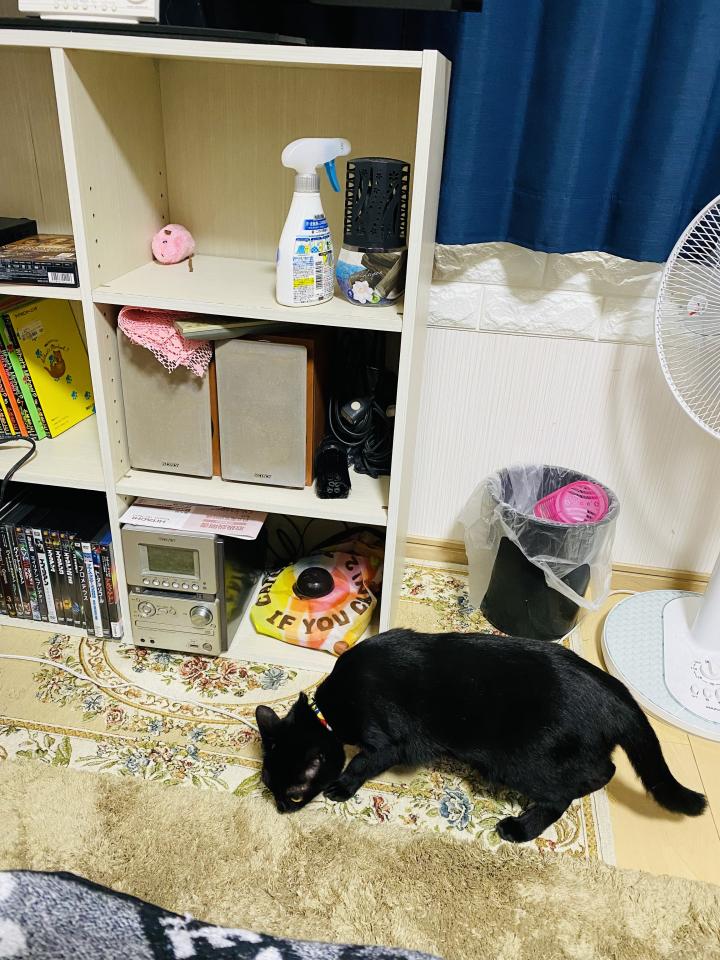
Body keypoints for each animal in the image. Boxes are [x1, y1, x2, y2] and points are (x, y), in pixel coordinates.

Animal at [255, 629, 706, 841]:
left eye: (293, 794)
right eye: (270, 789)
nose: (279, 809)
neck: (328, 712)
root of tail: (616, 694)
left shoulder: (388, 742)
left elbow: (363, 762)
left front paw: (343, 787)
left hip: (522, 761)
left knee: (568, 791)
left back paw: (519, 829)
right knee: (604, 770)